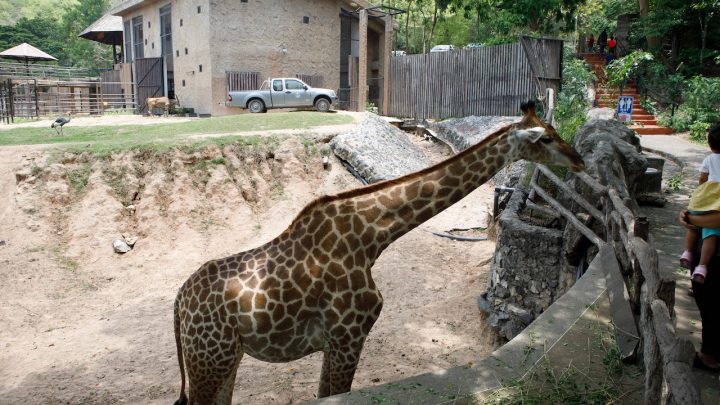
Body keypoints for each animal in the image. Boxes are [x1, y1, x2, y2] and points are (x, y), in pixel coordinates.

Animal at [173, 101, 584, 404]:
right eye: (547, 138)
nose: (578, 159)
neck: (371, 238)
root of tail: (178, 303)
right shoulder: (347, 338)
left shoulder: (340, 342)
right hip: (209, 360)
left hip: (226, 360)